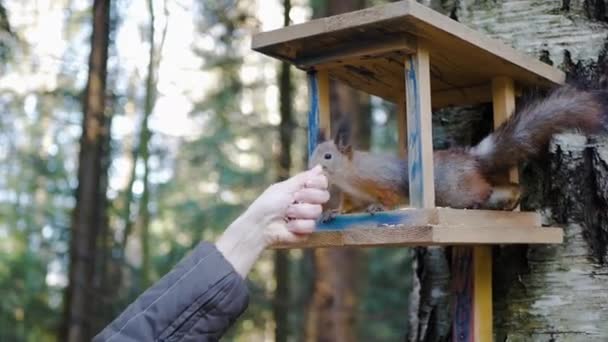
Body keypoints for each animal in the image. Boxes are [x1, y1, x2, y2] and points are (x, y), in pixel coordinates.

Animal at [308, 84, 608, 215]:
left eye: (328, 156)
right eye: (313, 154)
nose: (310, 168)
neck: (348, 176)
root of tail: (472, 158)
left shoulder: (382, 180)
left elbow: (392, 195)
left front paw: (379, 207)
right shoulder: (351, 195)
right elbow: (348, 207)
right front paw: (333, 213)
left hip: (455, 190)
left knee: (482, 191)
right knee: (500, 190)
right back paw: (510, 199)